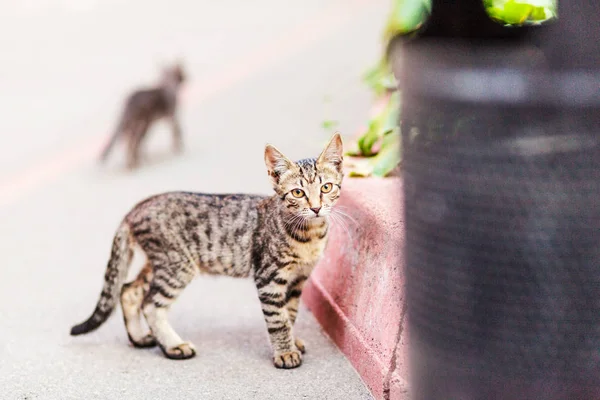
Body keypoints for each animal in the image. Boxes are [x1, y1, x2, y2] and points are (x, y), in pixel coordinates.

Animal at [69, 134, 344, 368]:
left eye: (326, 188)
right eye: (298, 192)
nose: (317, 208)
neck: (310, 235)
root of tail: (137, 207)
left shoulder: (298, 279)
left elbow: (290, 313)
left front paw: (292, 342)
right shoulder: (269, 277)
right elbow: (278, 319)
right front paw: (285, 352)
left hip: (158, 263)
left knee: (129, 290)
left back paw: (139, 337)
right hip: (177, 265)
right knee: (151, 304)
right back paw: (173, 346)